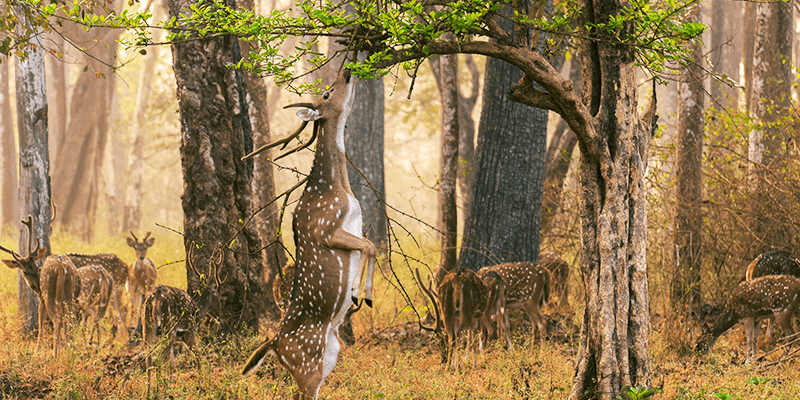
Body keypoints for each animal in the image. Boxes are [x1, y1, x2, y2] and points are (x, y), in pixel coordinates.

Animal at [1, 216, 80, 356]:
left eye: (35, 266)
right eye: (25, 271)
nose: (36, 285)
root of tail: (61, 267)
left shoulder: (41, 298)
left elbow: (41, 325)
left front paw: (36, 352)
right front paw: (65, 346)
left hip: (49, 294)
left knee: (57, 319)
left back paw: (54, 353)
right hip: (69, 292)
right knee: (69, 318)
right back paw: (70, 349)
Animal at [142, 242, 223, 386]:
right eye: (219, 298)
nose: (220, 316)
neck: (199, 310)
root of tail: (157, 295)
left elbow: (172, 364)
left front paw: (171, 384)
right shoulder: (190, 333)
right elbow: (198, 355)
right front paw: (201, 384)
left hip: (147, 326)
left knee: (149, 359)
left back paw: (150, 389)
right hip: (169, 329)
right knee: (158, 360)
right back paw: (157, 389)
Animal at [239, 69, 376, 400]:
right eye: (326, 94)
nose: (347, 71)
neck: (337, 188)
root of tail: (274, 344)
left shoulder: (352, 227)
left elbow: (371, 244)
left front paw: (361, 293)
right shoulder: (326, 228)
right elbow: (369, 246)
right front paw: (358, 293)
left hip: (328, 357)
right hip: (308, 364)